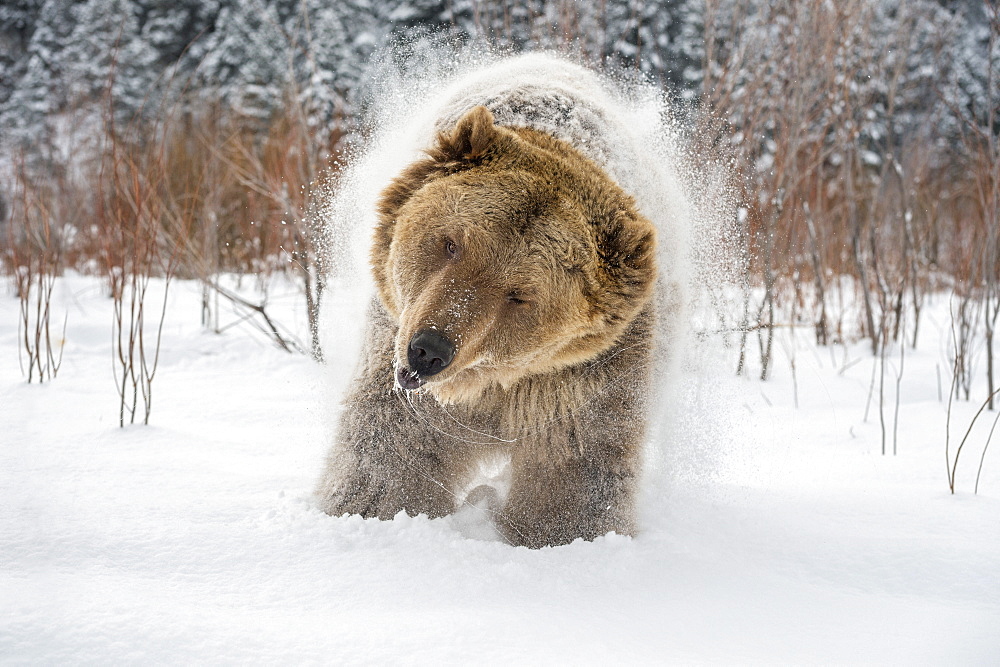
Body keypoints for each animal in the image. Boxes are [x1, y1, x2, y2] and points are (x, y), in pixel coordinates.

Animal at [316, 68, 668, 548]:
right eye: (452, 244)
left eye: (519, 294)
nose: (428, 350)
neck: (486, 383)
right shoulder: (396, 342)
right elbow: (391, 446)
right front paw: (368, 510)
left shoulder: (581, 378)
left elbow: (576, 466)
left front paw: (560, 534)